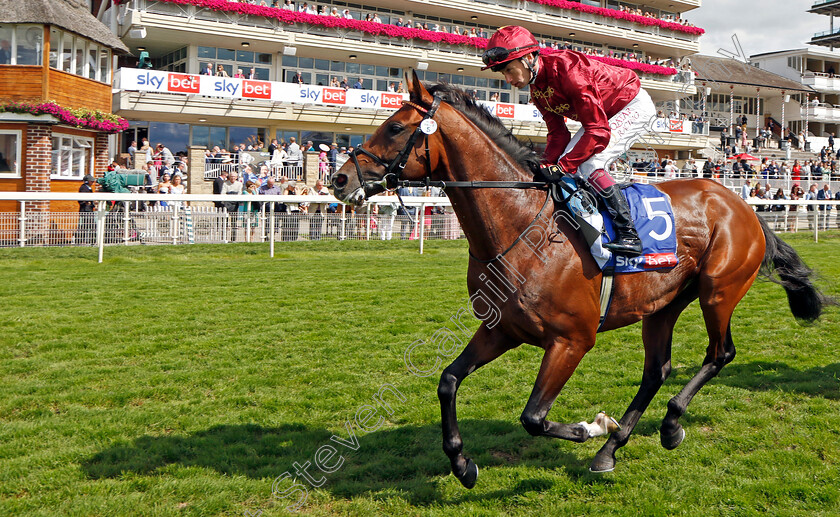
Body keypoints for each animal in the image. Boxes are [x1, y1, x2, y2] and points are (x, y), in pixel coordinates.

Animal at [330, 72, 832, 488]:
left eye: (396, 128)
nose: (338, 179)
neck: (521, 225)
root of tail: (741, 203)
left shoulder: (571, 340)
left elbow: (533, 417)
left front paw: (592, 426)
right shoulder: (502, 329)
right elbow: (448, 380)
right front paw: (461, 463)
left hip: (719, 292)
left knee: (719, 353)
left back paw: (667, 425)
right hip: (663, 304)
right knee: (657, 369)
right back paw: (612, 448)